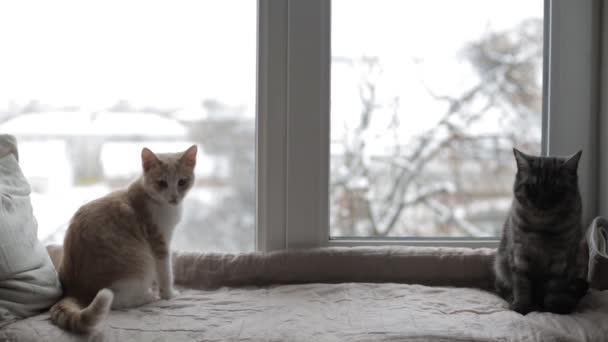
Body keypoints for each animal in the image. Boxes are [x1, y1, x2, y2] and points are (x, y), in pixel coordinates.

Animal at [50, 146, 197, 332]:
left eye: (182, 182)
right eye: (162, 183)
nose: (174, 197)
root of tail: (74, 290)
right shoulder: (159, 242)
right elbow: (166, 272)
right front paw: (169, 294)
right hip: (139, 267)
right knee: (117, 301)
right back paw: (146, 297)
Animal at [494, 148, 588, 314]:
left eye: (557, 189)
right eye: (532, 187)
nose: (543, 203)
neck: (542, 227)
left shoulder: (560, 261)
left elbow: (553, 288)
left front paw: (552, 307)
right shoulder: (519, 257)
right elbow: (522, 285)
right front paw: (521, 306)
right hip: (500, 266)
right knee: (501, 288)